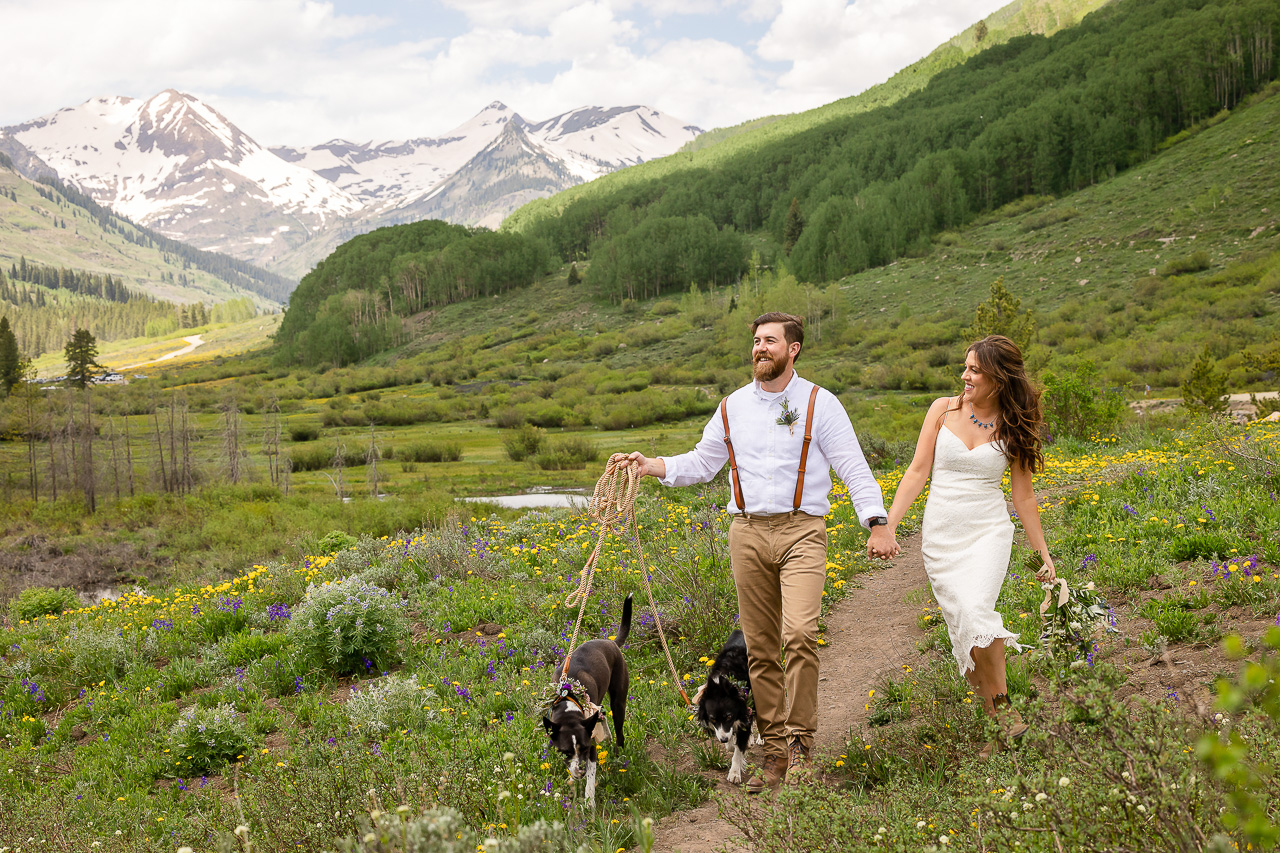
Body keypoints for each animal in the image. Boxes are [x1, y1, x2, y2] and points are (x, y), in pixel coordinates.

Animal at [540, 591, 629, 804]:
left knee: (619, 731)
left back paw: (618, 756)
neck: (569, 701)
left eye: (585, 748)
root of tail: (611, 642)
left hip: (618, 700)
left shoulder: (591, 748)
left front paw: (589, 804)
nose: (579, 770)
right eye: (566, 751)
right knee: (601, 713)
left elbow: (590, 779)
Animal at [696, 627, 752, 778]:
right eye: (712, 719)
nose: (723, 740)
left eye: (728, 716)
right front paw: (730, 744)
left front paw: (734, 773)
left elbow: (739, 748)